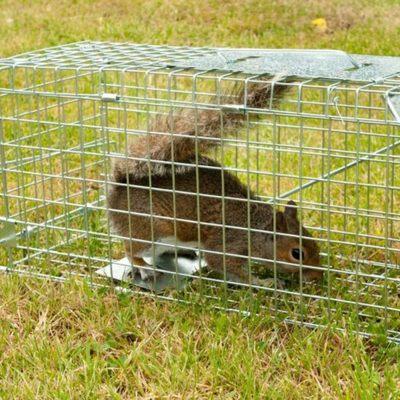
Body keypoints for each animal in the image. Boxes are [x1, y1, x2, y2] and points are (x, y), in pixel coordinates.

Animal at [108, 78, 324, 286]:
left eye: (313, 241)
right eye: (297, 253)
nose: (318, 276)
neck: (254, 228)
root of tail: (120, 186)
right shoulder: (227, 244)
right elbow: (225, 266)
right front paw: (265, 282)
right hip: (150, 229)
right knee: (131, 249)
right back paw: (144, 267)